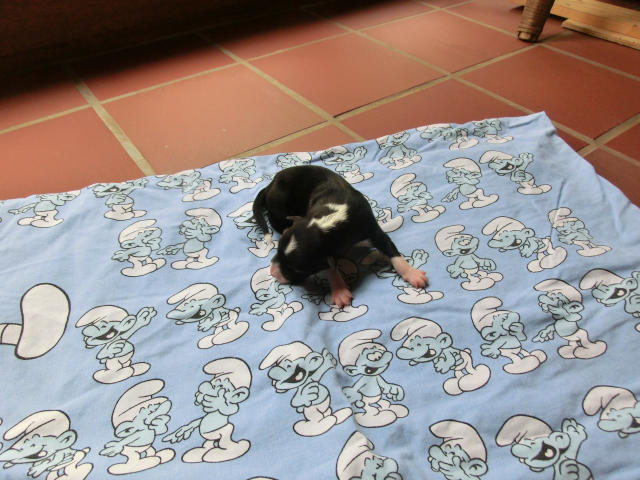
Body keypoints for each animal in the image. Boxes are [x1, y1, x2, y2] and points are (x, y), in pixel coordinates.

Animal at [253, 165, 428, 307]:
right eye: (278, 252)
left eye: (296, 269)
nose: (273, 272)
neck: (328, 223)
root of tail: (271, 183)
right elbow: (331, 266)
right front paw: (339, 290)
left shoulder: (373, 231)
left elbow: (392, 252)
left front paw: (412, 273)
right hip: (280, 206)